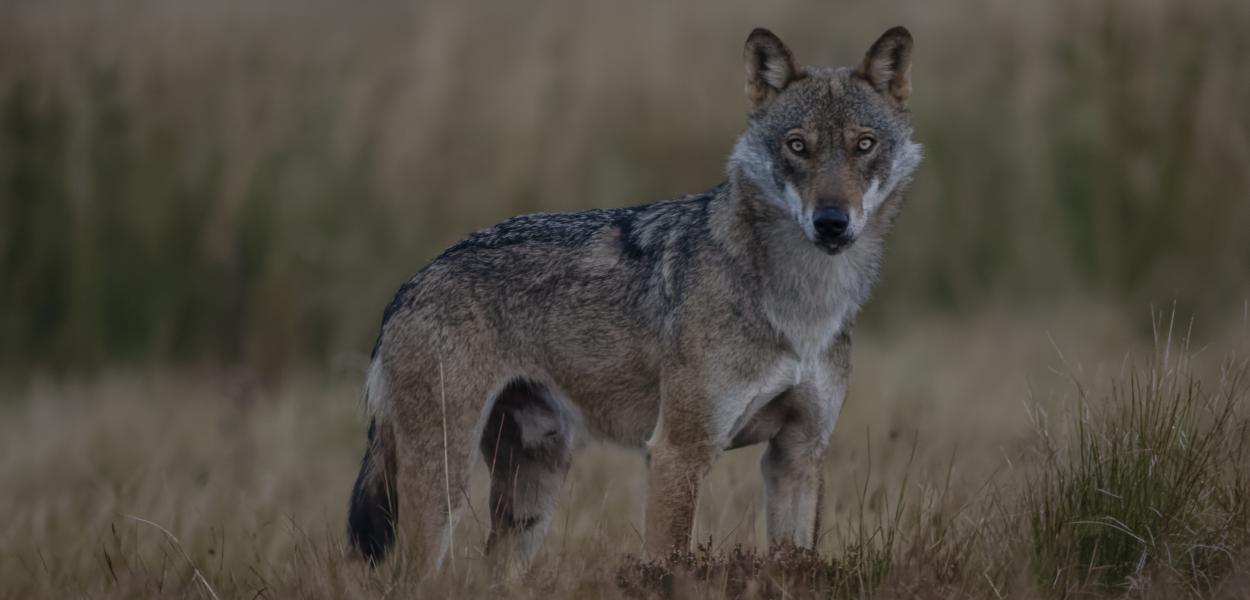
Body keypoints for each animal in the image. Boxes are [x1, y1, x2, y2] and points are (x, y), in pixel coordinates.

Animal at [347, 26, 925, 577]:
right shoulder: (677, 452)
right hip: (446, 479)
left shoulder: (798, 453)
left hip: (532, 492)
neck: (803, 307)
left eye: (864, 144)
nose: (831, 222)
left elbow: (794, 559)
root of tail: (409, 285)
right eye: (798, 146)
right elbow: (666, 564)